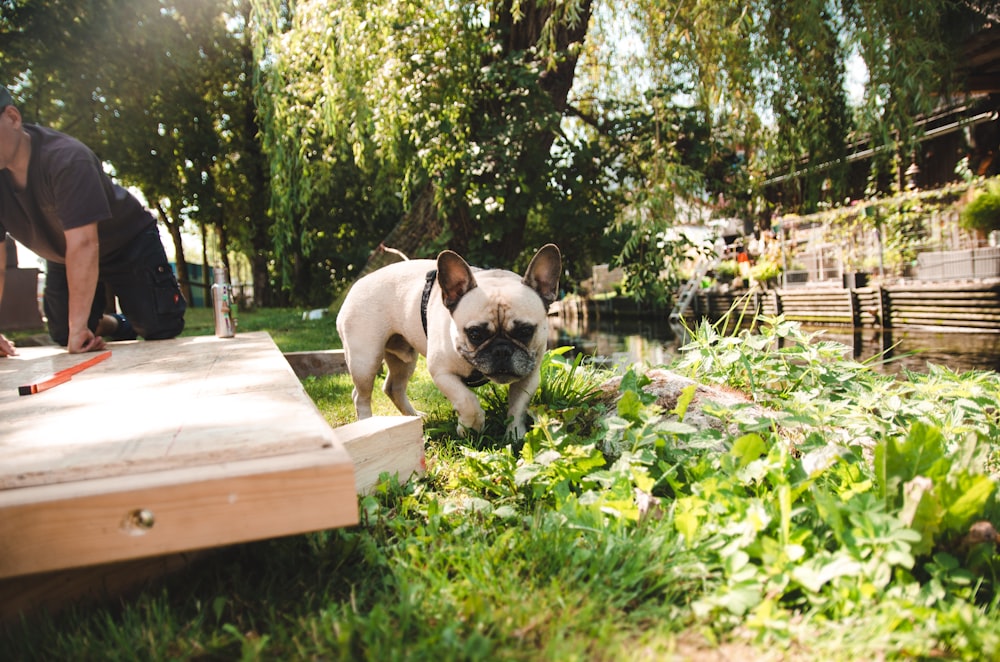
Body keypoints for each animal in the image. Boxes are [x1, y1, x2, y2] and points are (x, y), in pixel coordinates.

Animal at [334, 244, 556, 440]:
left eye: (525, 331)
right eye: (475, 334)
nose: (502, 350)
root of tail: (357, 285)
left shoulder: (529, 376)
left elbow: (518, 407)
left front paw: (515, 435)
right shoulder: (442, 373)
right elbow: (467, 400)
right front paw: (471, 427)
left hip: (404, 359)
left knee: (393, 387)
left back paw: (414, 417)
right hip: (365, 361)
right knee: (360, 395)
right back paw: (367, 424)